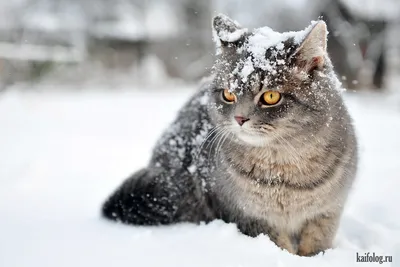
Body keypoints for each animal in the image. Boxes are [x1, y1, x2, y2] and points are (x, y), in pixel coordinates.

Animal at [101, 14, 358, 258]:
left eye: (271, 96)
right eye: (228, 94)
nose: (240, 118)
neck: (285, 172)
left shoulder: (327, 213)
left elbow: (316, 244)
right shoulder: (251, 216)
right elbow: (280, 246)